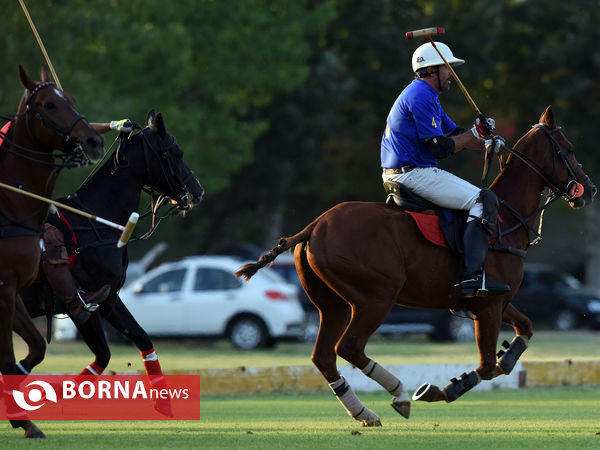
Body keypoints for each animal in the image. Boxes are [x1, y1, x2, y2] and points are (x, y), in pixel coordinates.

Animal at [0, 63, 104, 436]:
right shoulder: (4, 288)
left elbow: (35, 348)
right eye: (48, 104)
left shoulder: (13, 289)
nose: (94, 140)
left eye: (70, 97)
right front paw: (25, 421)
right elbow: (10, 357)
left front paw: (22, 417)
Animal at [19, 109, 204, 414]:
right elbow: (104, 355)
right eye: (175, 152)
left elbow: (141, 338)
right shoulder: (83, 305)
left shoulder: (109, 299)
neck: (99, 224)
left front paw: (164, 404)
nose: (198, 191)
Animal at [238, 105, 596, 426]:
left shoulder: (497, 300)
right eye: (569, 149)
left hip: (332, 304)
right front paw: (444, 389)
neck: (507, 218)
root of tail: (313, 226)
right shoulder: (489, 305)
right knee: (349, 348)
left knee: (324, 355)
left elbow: (525, 329)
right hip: (376, 297)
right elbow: (485, 367)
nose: (589, 189)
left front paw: (508, 356)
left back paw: (365, 412)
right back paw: (398, 393)